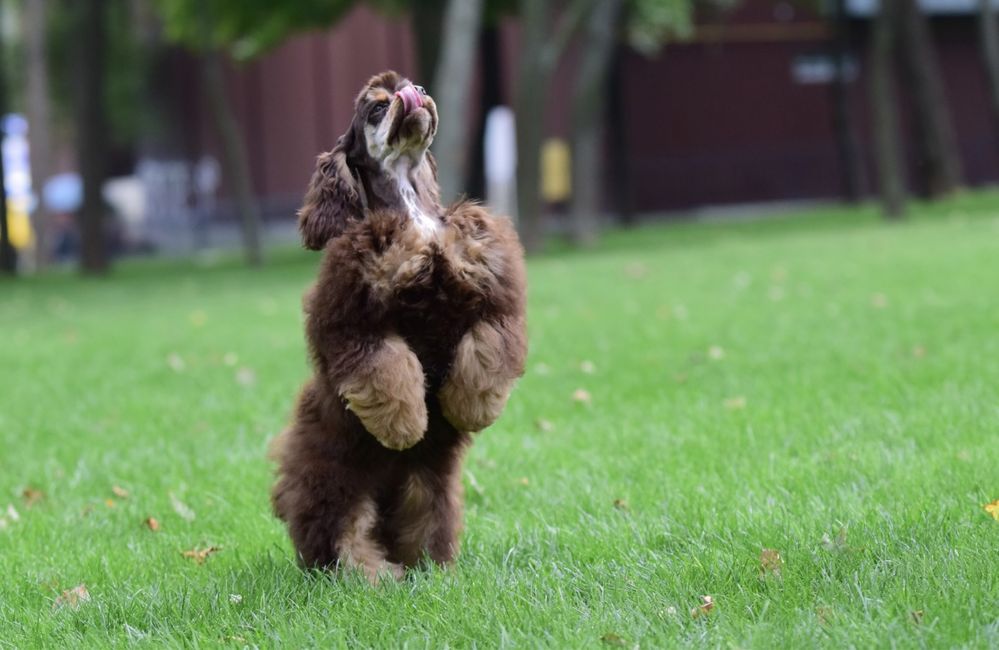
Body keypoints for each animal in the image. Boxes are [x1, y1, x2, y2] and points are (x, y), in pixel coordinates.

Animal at [270, 72, 528, 584]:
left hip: (427, 489)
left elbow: (486, 349)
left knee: (423, 532)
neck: (414, 216)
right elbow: (390, 366)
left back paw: (431, 571)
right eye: (375, 107)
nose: (416, 94)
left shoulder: (493, 295)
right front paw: (405, 426)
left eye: (413, 87)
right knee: (342, 543)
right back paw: (376, 577)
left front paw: (468, 409)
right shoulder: (352, 322)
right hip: (337, 485)